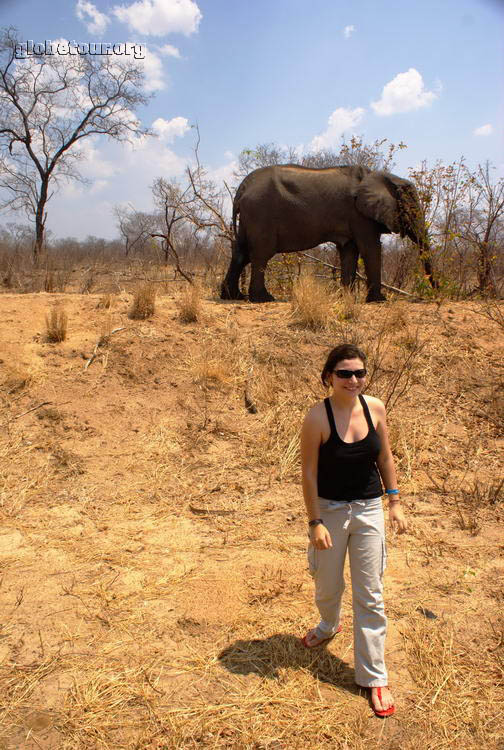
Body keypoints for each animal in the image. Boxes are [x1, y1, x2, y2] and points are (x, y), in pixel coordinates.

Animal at [221, 164, 438, 302]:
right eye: (412, 210)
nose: (437, 294)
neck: (381, 176)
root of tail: (241, 189)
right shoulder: (359, 215)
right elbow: (370, 249)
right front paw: (379, 300)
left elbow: (349, 252)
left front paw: (347, 298)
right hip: (260, 213)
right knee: (261, 254)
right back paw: (263, 299)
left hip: (249, 217)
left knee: (241, 253)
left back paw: (233, 297)